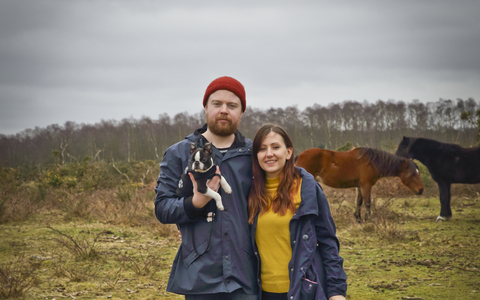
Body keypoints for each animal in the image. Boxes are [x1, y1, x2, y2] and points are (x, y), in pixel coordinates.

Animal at [296, 146, 424, 221]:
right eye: (413, 174)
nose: (421, 190)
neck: (372, 162)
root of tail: (299, 155)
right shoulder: (366, 185)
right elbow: (367, 203)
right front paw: (369, 219)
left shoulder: (359, 186)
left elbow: (359, 202)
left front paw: (358, 219)